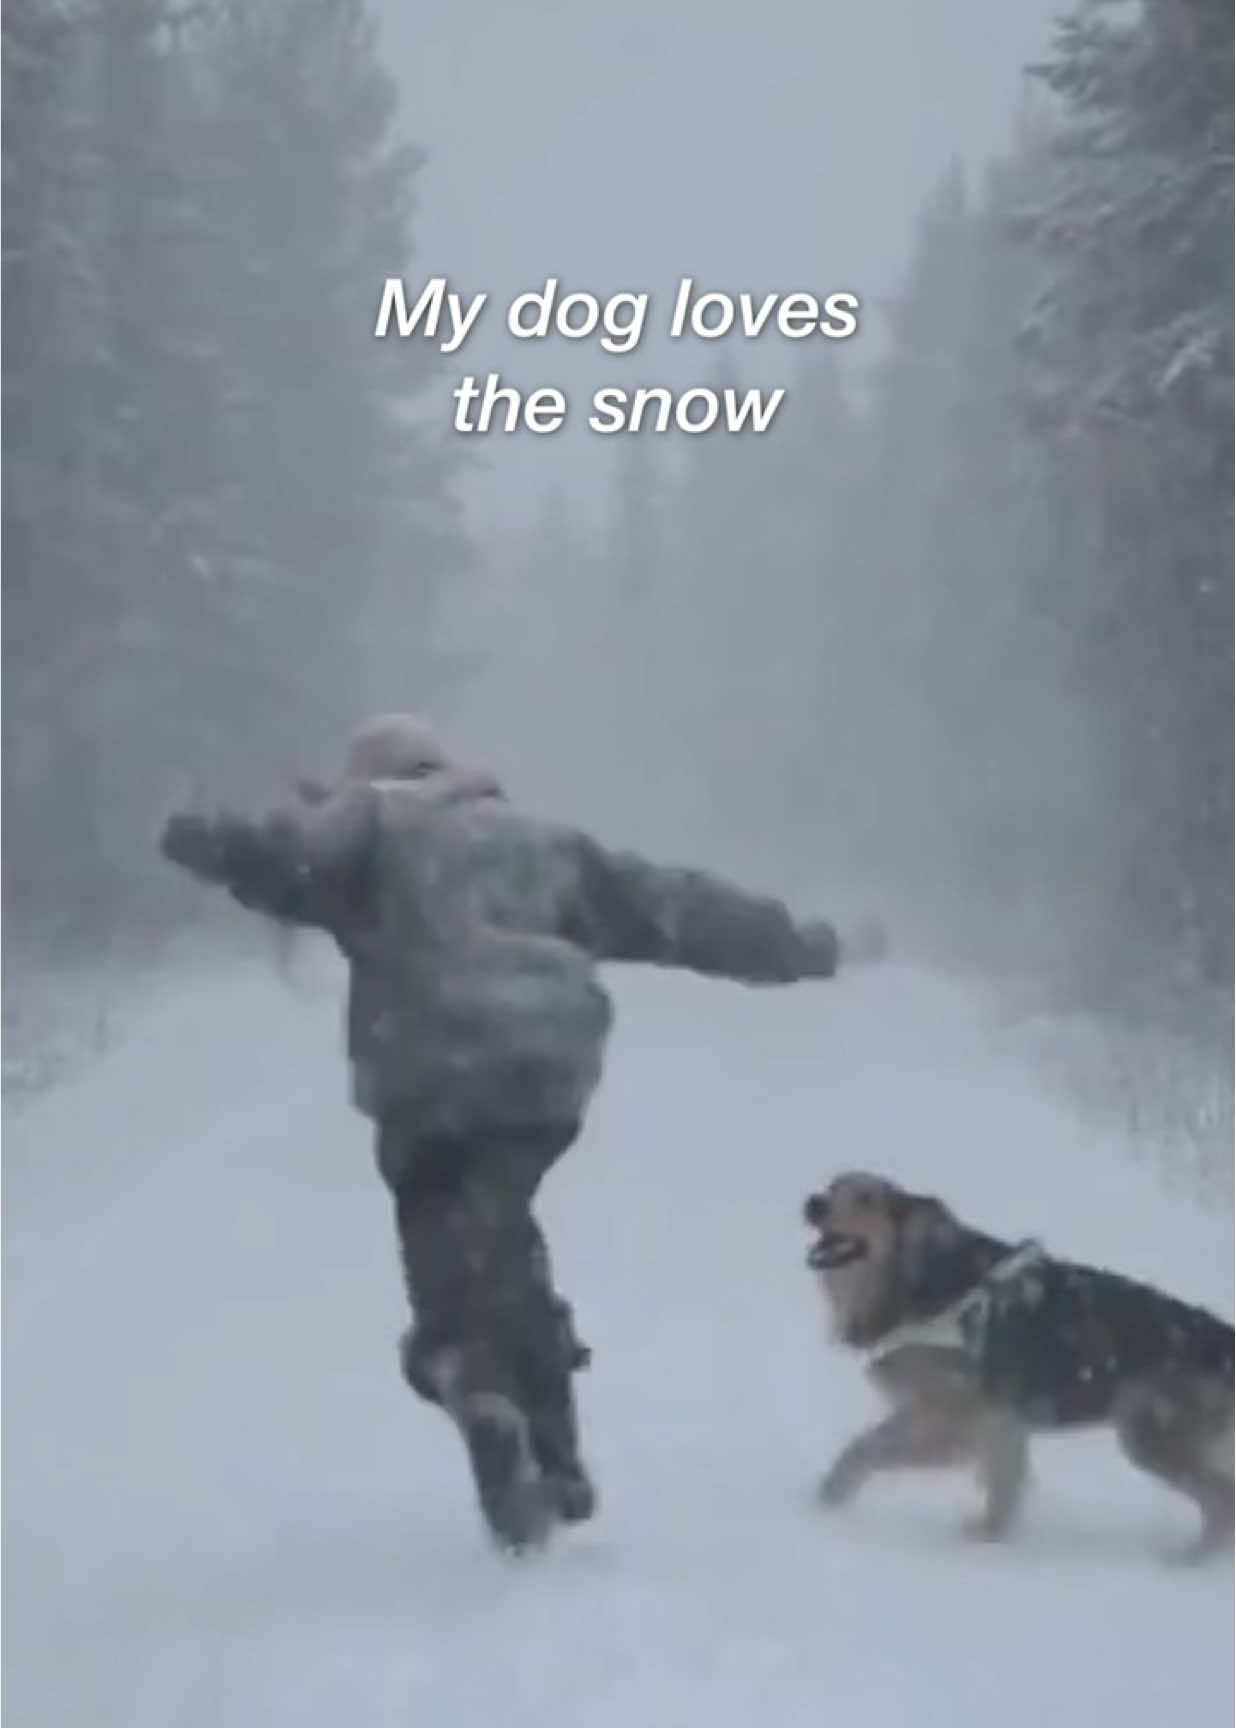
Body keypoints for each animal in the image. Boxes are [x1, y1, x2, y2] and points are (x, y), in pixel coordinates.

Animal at [809, 1168, 1230, 1562]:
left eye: (866, 1199)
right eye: (833, 1186)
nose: (813, 1204)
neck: (919, 1281)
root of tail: (1226, 1341)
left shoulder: (962, 1427)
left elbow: (872, 1451)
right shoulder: (965, 1419)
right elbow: (863, 1448)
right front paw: (826, 1498)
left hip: (1148, 1431)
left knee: (1222, 1501)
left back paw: (1187, 1561)